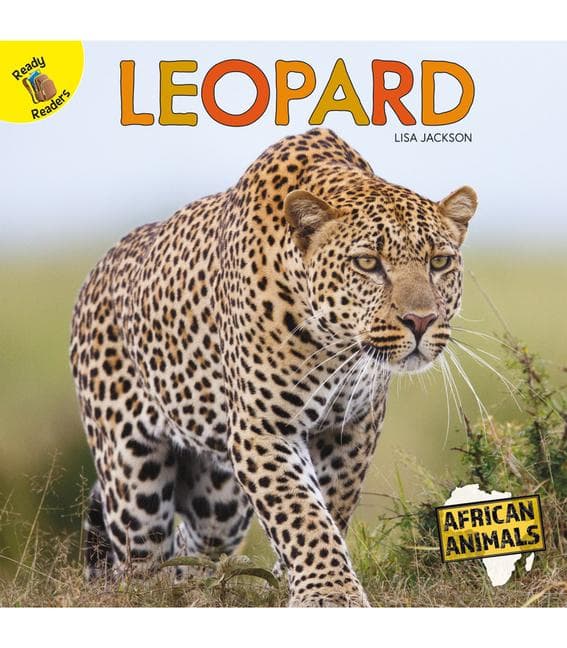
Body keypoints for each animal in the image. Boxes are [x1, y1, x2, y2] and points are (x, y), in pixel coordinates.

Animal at [70, 127, 477, 607]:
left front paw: (292, 580)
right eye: (367, 263)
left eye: (439, 262)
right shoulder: (262, 428)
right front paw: (329, 592)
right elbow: (299, 510)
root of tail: (96, 273)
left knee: (196, 547)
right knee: (140, 561)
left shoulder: (352, 427)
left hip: (218, 499)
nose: (420, 320)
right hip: (132, 478)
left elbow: (329, 504)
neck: (336, 345)